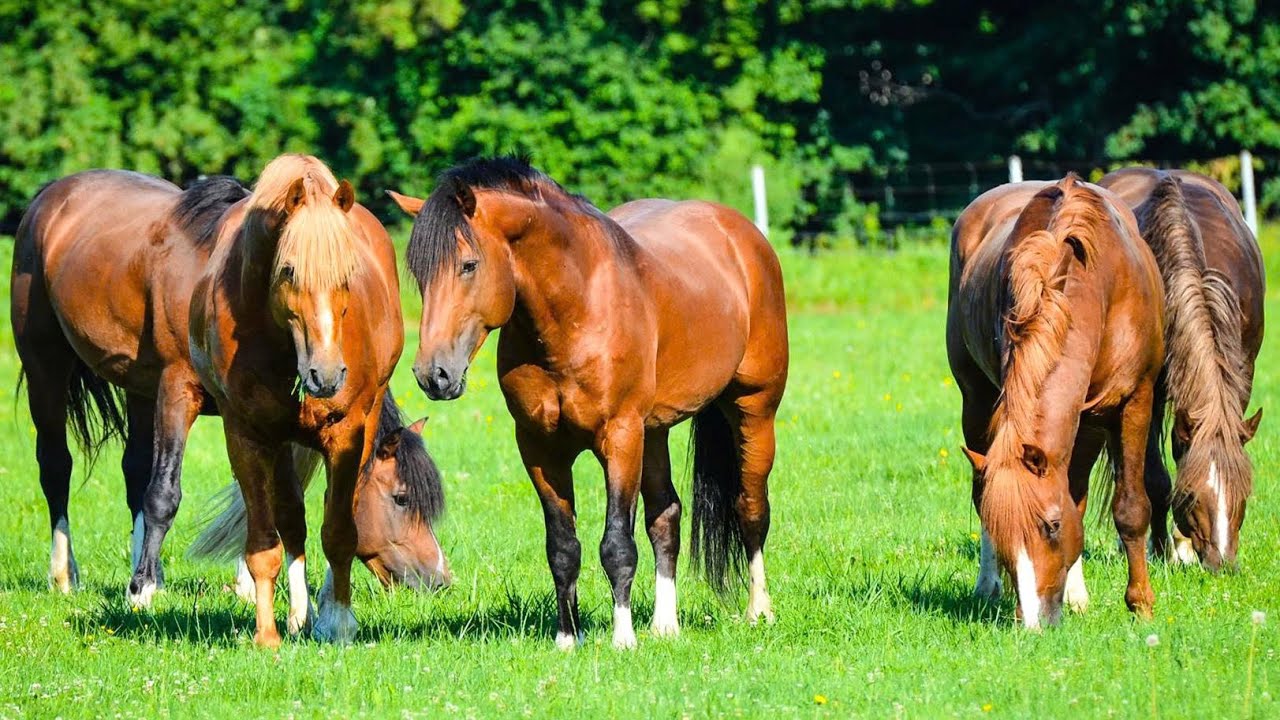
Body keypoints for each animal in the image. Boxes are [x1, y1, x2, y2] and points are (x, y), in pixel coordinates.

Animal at [389, 156, 789, 649]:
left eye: (468, 265)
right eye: (419, 275)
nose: (434, 374)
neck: (576, 310)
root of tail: (743, 234)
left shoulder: (619, 437)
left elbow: (616, 544)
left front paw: (622, 639)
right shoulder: (540, 448)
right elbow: (563, 547)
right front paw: (568, 638)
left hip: (753, 410)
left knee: (750, 508)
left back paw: (759, 612)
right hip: (654, 431)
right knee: (666, 516)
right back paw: (665, 625)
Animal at [946, 174, 1165, 628]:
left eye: (1051, 525)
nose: (1032, 623)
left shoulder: (1134, 401)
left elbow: (1129, 508)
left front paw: (1141, 606)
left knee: (1078, 490)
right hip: (975, 400)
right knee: (980, 485)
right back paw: (988, 586)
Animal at [1099, 168, 1265, 570]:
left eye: (1243, 492)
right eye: (1189, 495)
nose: (1222, 564)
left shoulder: (1240, 375)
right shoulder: (1149, 392)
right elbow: (1156, 479)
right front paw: (1160, 550)